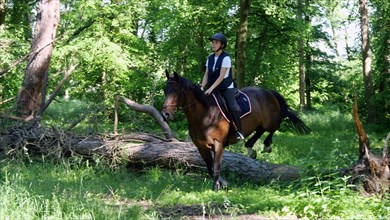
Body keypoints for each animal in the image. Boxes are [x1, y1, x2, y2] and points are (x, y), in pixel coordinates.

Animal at [161, 70, 310, 191]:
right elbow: (210, 168)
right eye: (165, 90)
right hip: (260, 123)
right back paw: (250, 148)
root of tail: (268, 91)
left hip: (270, 120)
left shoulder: (218, 144)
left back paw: (266, 145)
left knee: (275, 126)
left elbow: (216, 167)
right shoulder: (201, 147)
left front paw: (216, 188)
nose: (166, 114)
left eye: (176, 90)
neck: (204, 114)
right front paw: (224, 183)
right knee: (260, 130)